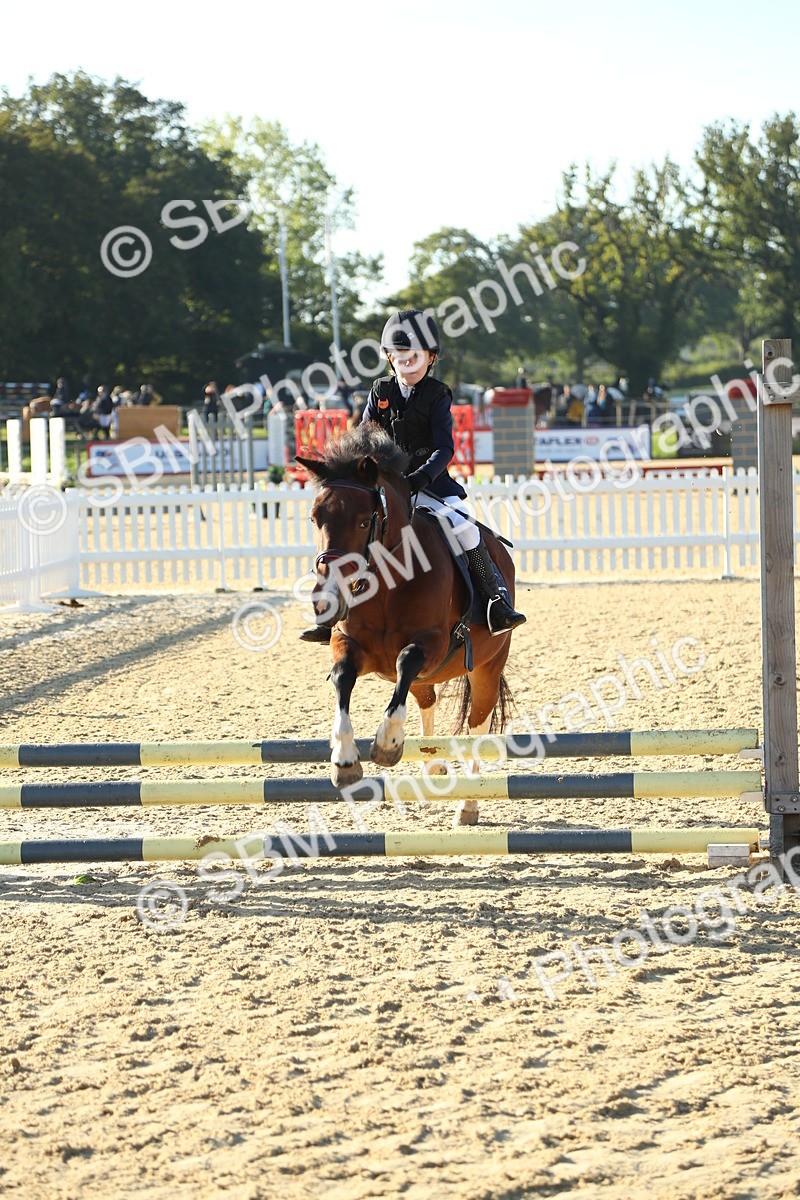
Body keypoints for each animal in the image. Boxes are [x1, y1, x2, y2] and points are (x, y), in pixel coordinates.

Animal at [297, 424, 519, 826]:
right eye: (315, 518)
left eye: (364, 521)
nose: (325, 602)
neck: (386, 581)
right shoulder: (352, 647)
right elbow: (342, 678)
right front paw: (345, 761)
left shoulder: (430, 644)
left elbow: (406, 660)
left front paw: (386, 744)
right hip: (428, 679)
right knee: (425, 700)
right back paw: (432, 765)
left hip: (488, 666)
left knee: (476, 726)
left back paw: (468, 806)